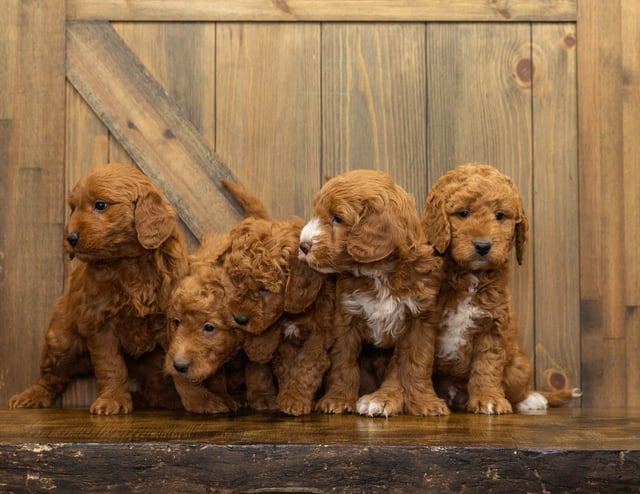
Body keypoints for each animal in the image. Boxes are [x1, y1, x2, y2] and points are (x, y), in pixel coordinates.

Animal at [8, 164, 189, 414]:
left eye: (100, 205)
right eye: (73, 208)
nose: (70, 238)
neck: (128, 261)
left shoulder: (169, 319)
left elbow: (173, 362)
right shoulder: (98, 322)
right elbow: (110, 365)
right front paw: (113, 400)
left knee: (153, 383)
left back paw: (162, 399)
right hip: (60, 339)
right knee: (51, 376)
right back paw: (30, 396)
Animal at [300, 169, 450, 416]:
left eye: (338, 218)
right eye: (316, 214)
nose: (302, 245)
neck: (379, 271)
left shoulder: (420, 320)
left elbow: (415, 363)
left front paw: (424, 402)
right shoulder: (346, 316)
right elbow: (343, 362)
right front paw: (337, 399)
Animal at [422, 163, 584, 412]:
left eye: (500, 215)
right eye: (463, 213)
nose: (483, 246)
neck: (470, 276)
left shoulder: (493, 326)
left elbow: (487, 366)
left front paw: (488, 399)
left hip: (521, 364)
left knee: (518, 389)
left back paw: (533, 399)